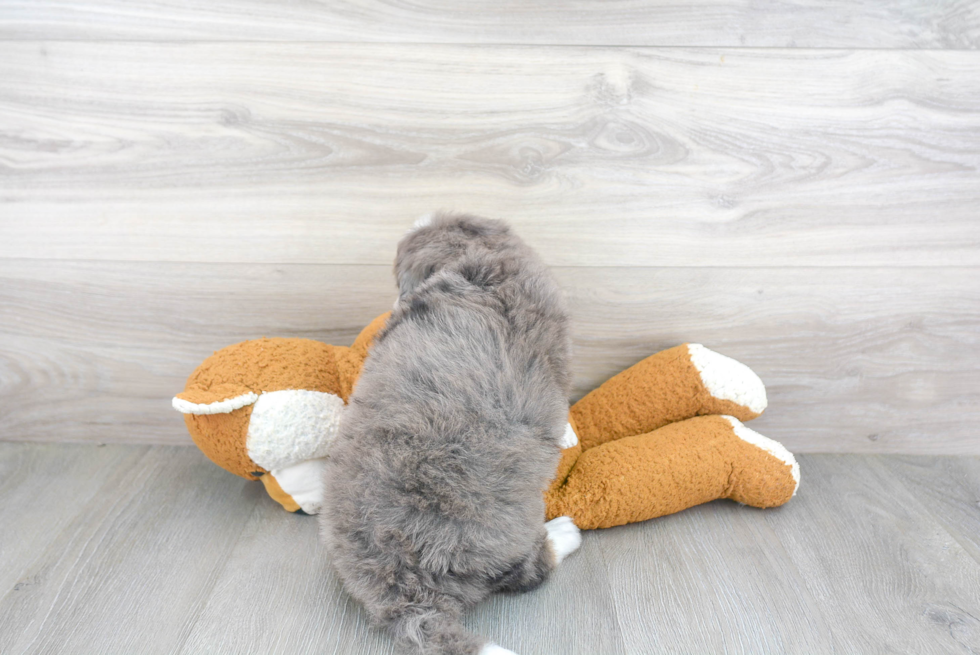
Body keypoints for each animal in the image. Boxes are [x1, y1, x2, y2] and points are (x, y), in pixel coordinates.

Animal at [322, 215, 580, 655]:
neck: (474, 255)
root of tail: (405, 591)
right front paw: (568, 437)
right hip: (509, 537)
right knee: (528, 573)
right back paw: (564, 534)